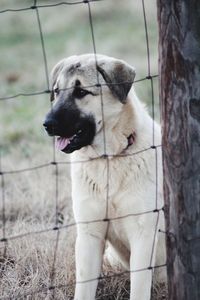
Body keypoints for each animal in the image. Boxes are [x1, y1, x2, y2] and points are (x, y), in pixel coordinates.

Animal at [43, 54, 166, 300]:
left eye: (81, 92)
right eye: (57, 91)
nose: (47, 124)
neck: (109, 159)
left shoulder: (143, 235)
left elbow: (139, 288)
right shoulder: (89, 237)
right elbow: (83, 289)